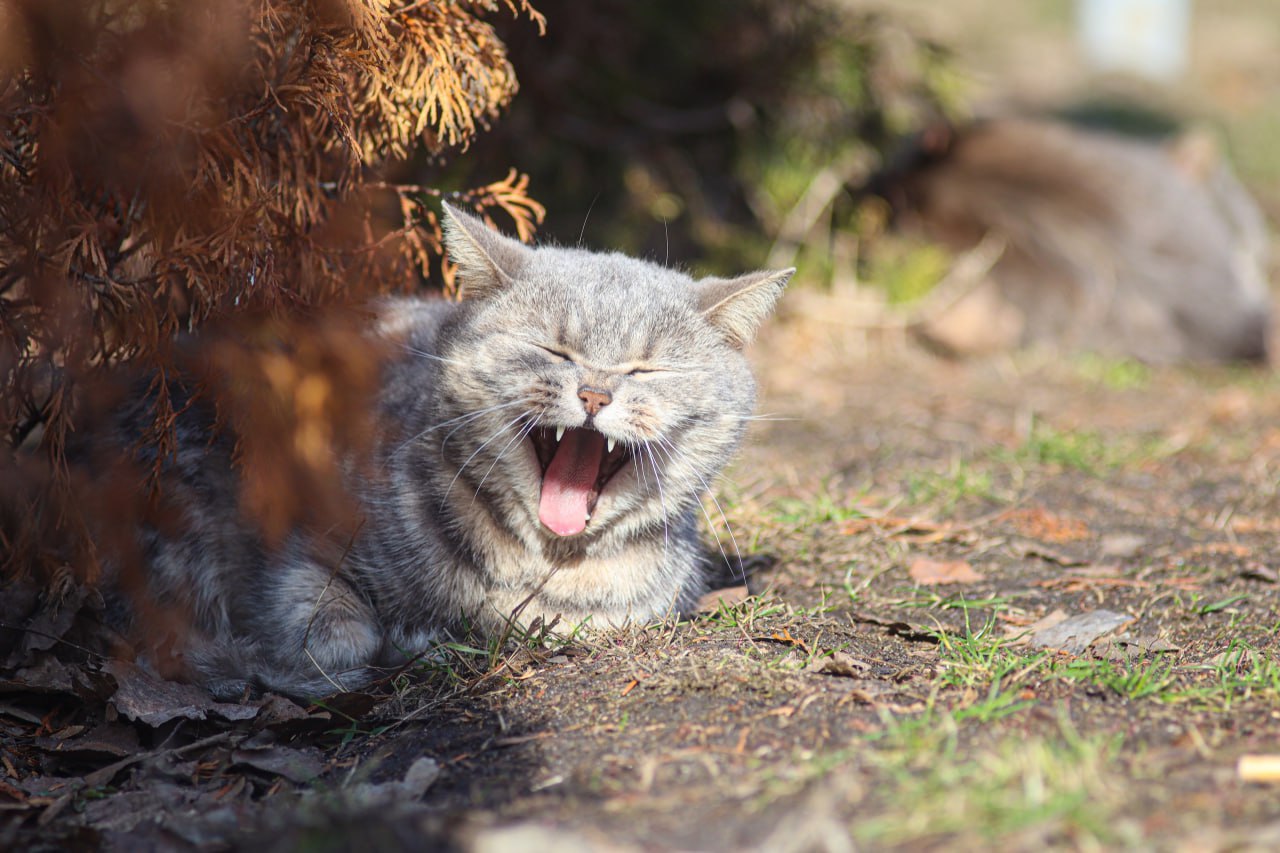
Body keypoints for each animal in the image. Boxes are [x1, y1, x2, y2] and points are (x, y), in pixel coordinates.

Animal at [110, 206, 788, 696]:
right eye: (553, 350)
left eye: (645, 369)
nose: (594, 393)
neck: (533, 569)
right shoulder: (292, 544)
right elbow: (336, 634)